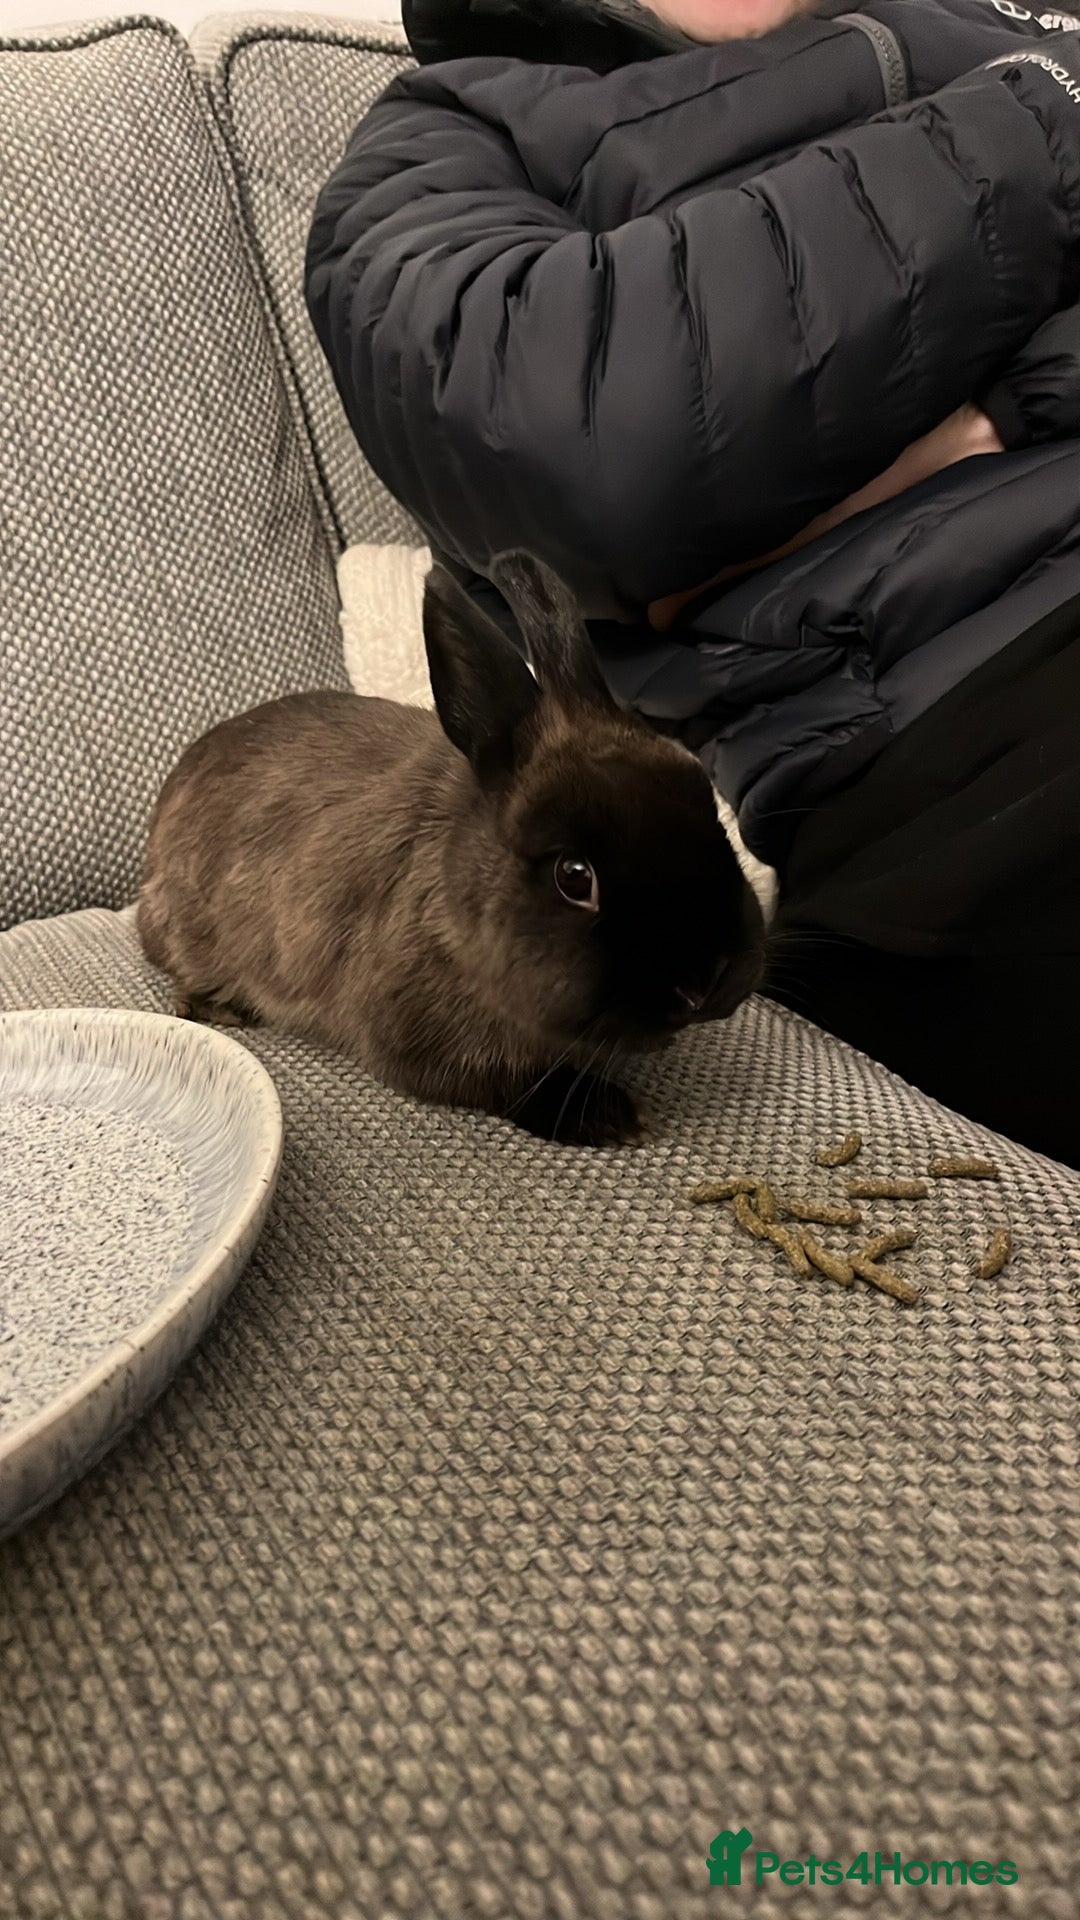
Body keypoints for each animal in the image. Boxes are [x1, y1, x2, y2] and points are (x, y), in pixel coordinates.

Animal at [137, 552, 766, 1146]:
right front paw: (614, 1117)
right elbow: (511, 1083)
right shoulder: (425, 1043)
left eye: (712, 815)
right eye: (574, 876)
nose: (706, 982)